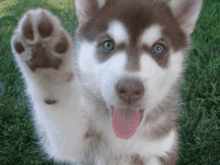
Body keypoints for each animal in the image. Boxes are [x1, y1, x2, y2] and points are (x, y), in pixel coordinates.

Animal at [10, 0, 203, 164]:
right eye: (108, 45)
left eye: (158, 48)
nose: (130, 89)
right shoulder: (78, 145)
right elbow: (62, 115)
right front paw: (46, 64)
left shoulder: (160, 150)